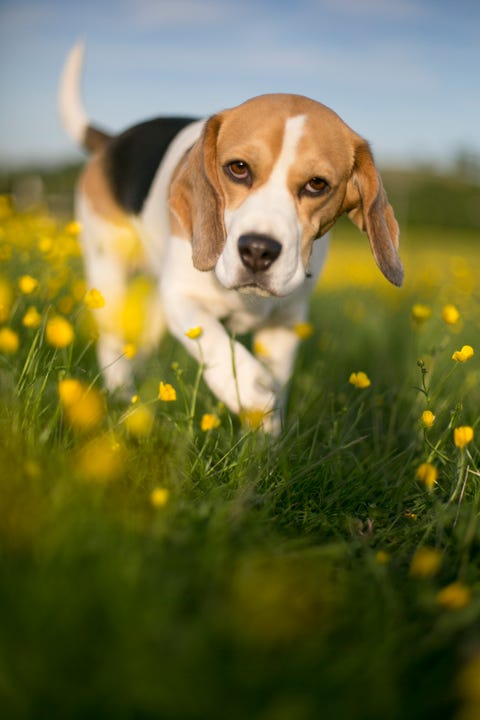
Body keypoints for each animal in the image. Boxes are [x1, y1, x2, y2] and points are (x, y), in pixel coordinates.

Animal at [58, 42, 404, 434]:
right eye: (238, 168)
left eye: (317, 184)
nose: (257, 251)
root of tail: (113, 141)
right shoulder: (181, 295)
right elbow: (214, 343)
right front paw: (247, 389)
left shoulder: (284, 326)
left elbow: (276, 395)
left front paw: (265, 442)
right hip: (108, 271)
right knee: (112, 341)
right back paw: (121, 394)